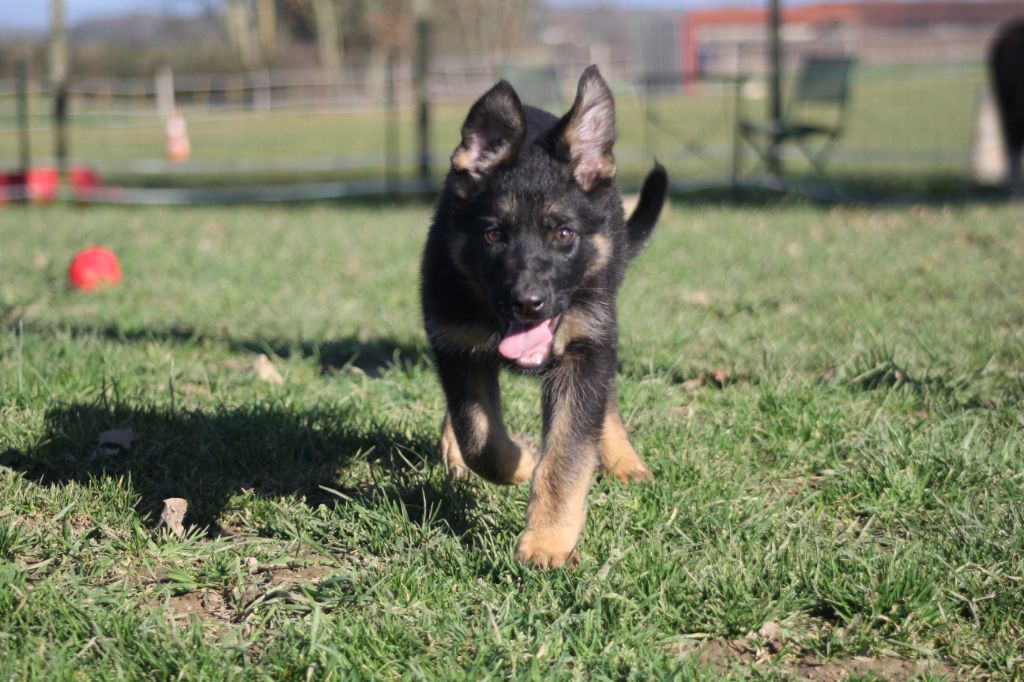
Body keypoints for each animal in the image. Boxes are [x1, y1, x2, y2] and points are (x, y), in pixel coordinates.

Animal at [419, 63, 667, 565]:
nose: (527, 302)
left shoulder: (583, 351)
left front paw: (548, 540)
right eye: (494, 235)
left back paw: (623, 460)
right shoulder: (455, 343)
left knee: (606, 400)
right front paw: (520, 461)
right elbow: (479, 436)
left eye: (563, 234)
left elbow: (567, 456)